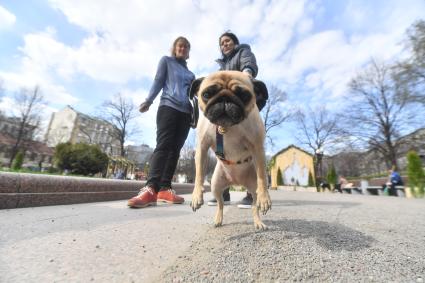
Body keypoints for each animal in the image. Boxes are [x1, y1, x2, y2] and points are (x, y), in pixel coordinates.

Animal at [190, 71, 270, 231]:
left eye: (244, 95)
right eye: (207, 94)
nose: (224, 99)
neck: (227, 127)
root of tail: (237, 181)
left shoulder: (258, 148)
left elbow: (263, 177)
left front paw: (265, 198)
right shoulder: (202, 147)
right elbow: (199, 174)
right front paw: (196, 196)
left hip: (253, 189)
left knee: (254, 205)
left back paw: (258, 221)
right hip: (215, 186)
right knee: (220, 203)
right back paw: (218, 219)